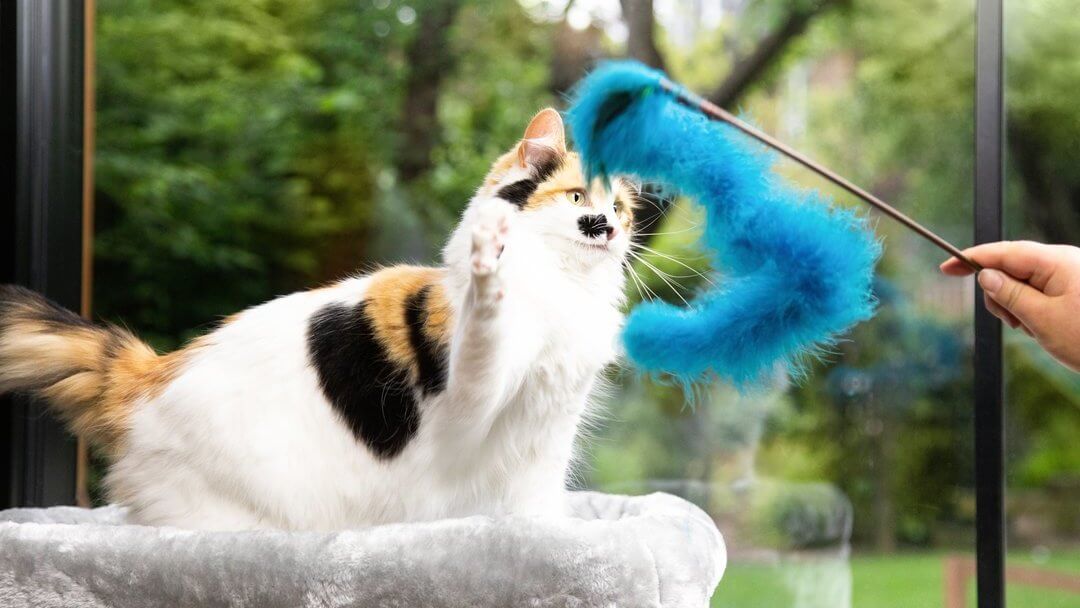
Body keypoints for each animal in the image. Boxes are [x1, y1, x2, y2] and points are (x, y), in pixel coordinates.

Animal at [0, 110, 630, 533]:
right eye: (577, 198)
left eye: (620, 208)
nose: (605, 226)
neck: (564, 290)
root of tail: (145, 375)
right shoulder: (469, 397)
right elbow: (486, 328)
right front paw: (489, 269)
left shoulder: (546, 442)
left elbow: (541, 512)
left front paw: (551, 544)